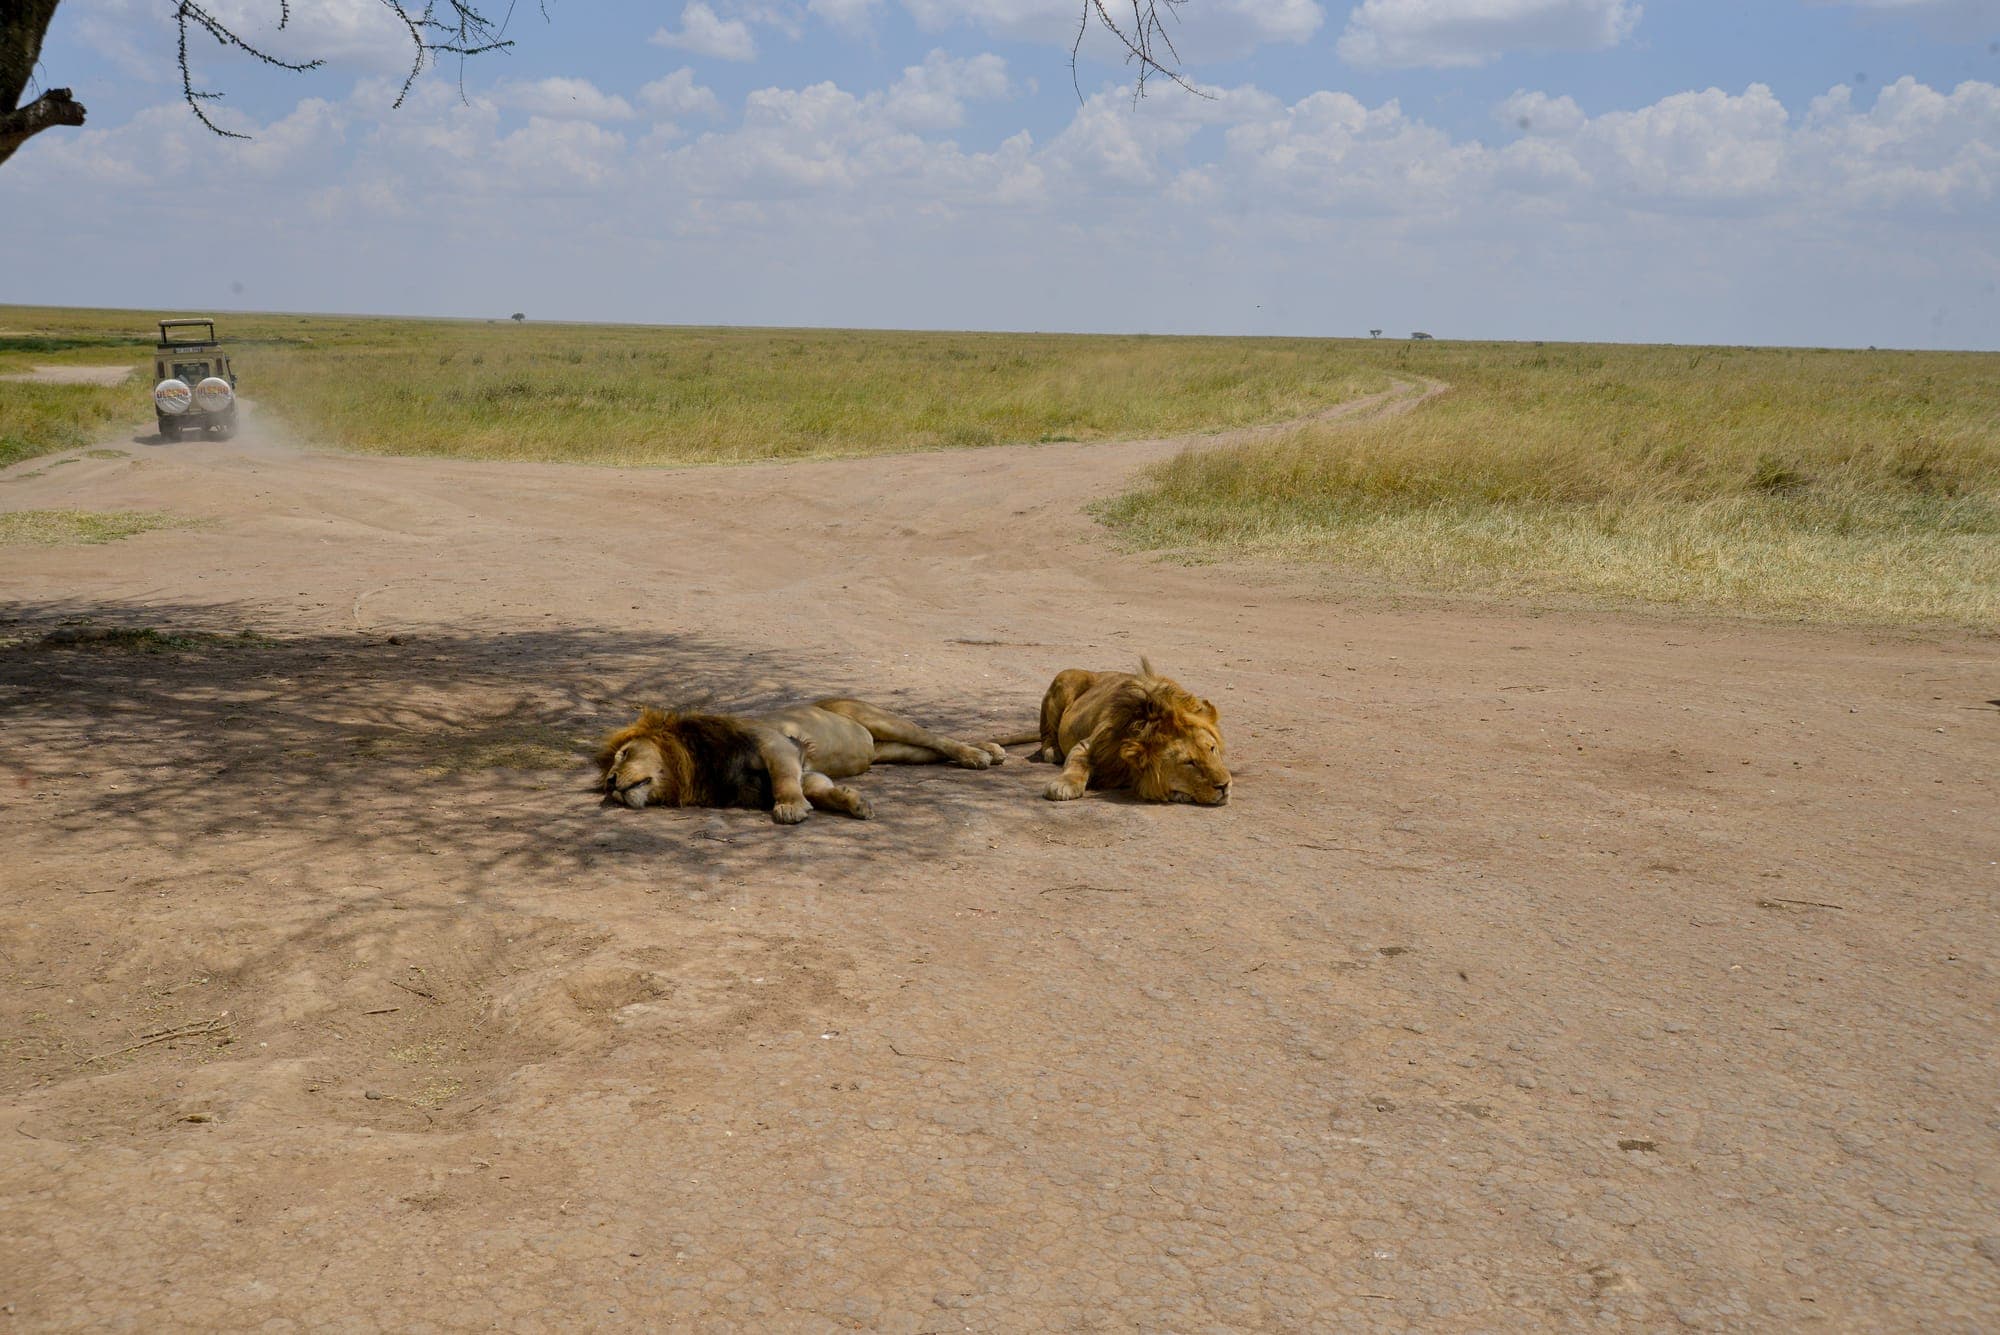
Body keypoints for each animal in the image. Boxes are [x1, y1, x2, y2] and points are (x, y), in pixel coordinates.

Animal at [596, 698, 1010, 824]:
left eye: (624, 754)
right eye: (608, 774)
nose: (611, 783)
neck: (697, 765)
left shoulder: (778, 744)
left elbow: (784, 780)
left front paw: (790, 808)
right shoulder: (804, 770)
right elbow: (819, 789)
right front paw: (853, 801)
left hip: (878, 718)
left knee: (938, 739)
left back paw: (978, 754)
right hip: (892, 751)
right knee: (931, 751)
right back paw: (990, 748)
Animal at [1028, 658, 1231, 805]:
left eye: (1212, 749)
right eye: (1189, 762)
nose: (1225, 785)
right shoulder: (1090, 745)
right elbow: (1077, 763)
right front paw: (1063, 784)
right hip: (1066, 678)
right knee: (1047, 734)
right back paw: (1052, 750)